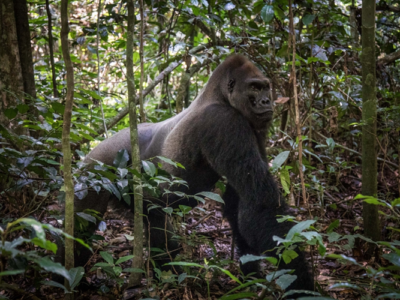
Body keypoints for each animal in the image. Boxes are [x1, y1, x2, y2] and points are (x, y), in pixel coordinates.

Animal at [73, 54, 314, 292]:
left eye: (265, 87)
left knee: (154, 220)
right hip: (95, 171)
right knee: (81, 227)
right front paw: (300, 281)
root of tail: (90, 153)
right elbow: (261, 203)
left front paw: (251, 276)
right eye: (254, 88)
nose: (266, 101)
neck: (218, 95)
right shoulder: (224, 121)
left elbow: (239, 206)